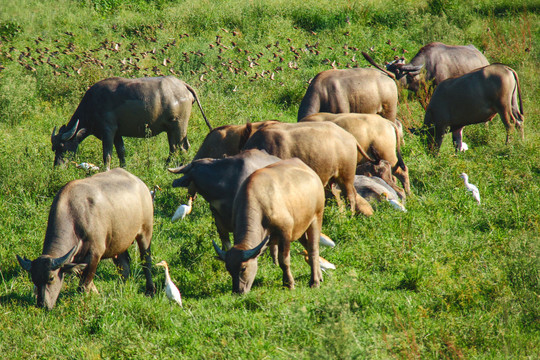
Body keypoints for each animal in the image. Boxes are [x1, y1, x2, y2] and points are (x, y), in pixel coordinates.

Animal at [15, 169, 155, 310]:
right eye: (34, 279)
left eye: (51, 278)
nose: (42, 304)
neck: (75, 216)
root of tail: (141, 184)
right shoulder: (76, 258)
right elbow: (84, 278)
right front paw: (96, 294)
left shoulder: (95, 254)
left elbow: (83, 285)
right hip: (118, 242)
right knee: (124, 266)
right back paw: (120, 289)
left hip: (145, 232)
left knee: (146, 261)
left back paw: (150, 290)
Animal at [50, 75, 211, 170]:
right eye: (54, 148)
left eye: (62, 146)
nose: (57, 167)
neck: (92, 104)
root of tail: (183, 85)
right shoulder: (117, 133)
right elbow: (121, 151)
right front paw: (123, 168)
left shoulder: (108, 131)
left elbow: (107, 154)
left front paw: (106, 170)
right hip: (171, 129)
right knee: (176, 148)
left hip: (178, 126)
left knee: (181, 147)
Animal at [214, 159, 324, 294]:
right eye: (228, 269)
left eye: (243, 268)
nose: (238, 291)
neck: (261, 202)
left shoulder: (285, 232)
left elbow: (284, 261)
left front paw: (289, 284)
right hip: (300, 229)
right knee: (307, 246)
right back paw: (319, 276)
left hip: (316, 218)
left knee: (313, 248)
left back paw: (314, 282)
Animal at [242, 121, 374, 217]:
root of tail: (351, 138)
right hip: (331, 179)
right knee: (337, 195)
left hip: (346, 176)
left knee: (350, 196)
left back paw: (349, 216)